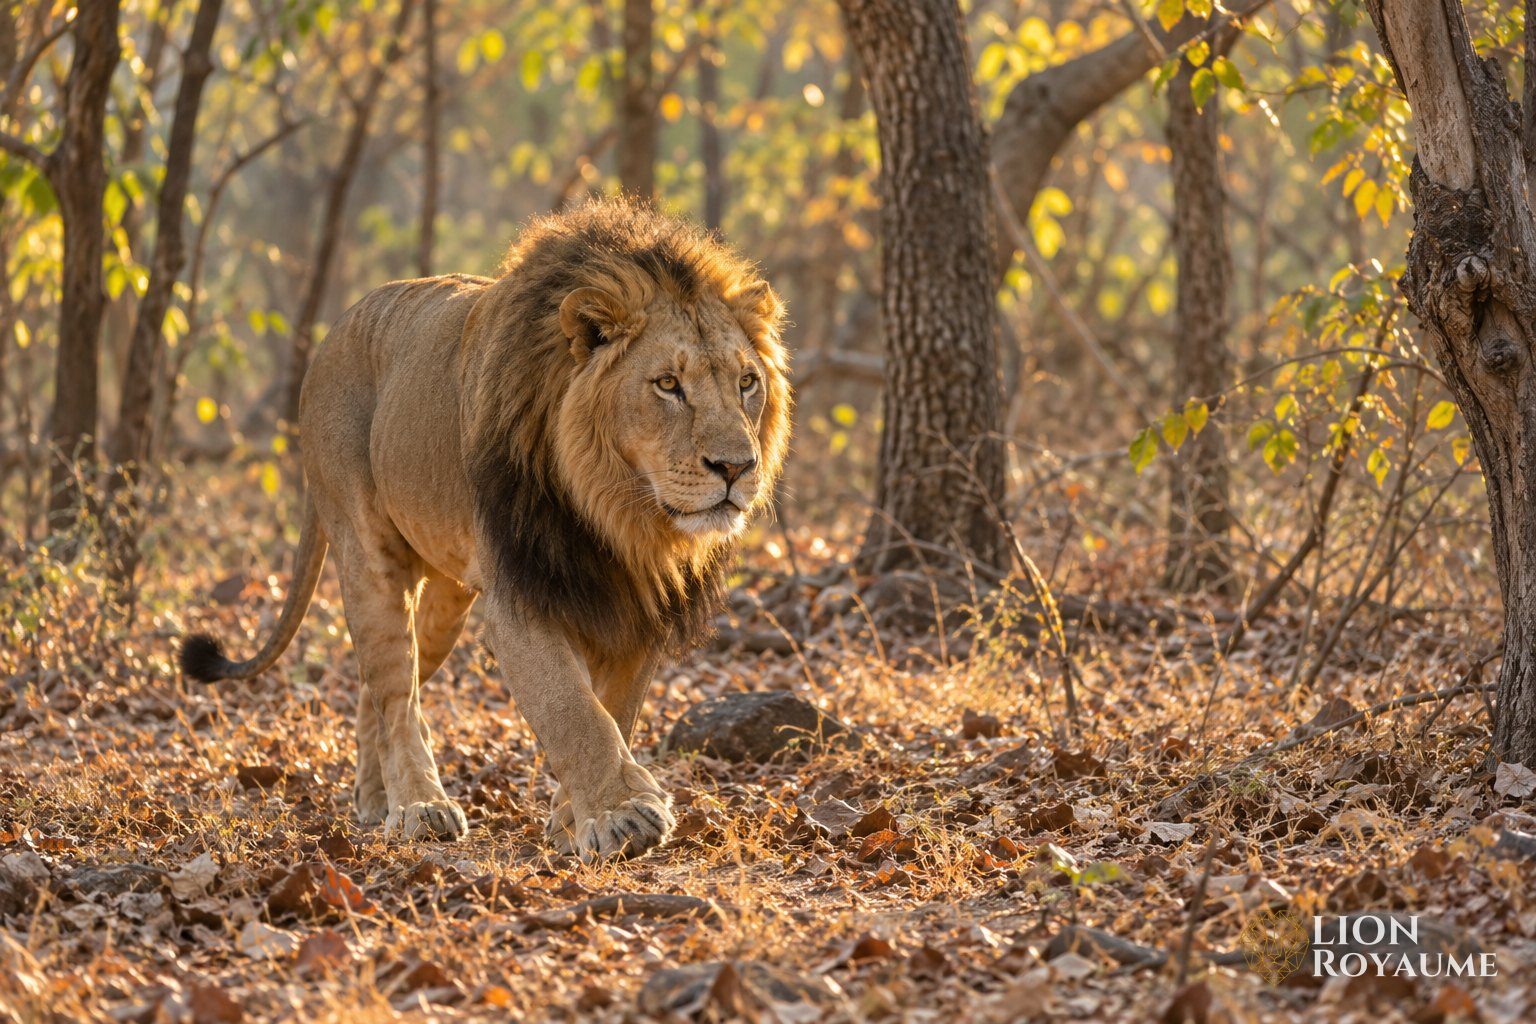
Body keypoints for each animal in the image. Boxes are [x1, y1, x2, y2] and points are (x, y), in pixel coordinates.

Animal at [180, 198, 791, 859]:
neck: (621, 515)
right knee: (396, 690)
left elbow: (616, 710)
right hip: (367, 548)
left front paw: (573, 819)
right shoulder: (522, 596)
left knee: (383, 686)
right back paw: (419, 806)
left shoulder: (640, 603)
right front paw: (622, 814)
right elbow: (572, 709)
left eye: (746, 382)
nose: (736, 467)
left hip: (448, 597)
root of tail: (331, 335)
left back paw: (375, 797)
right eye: (668, 384)